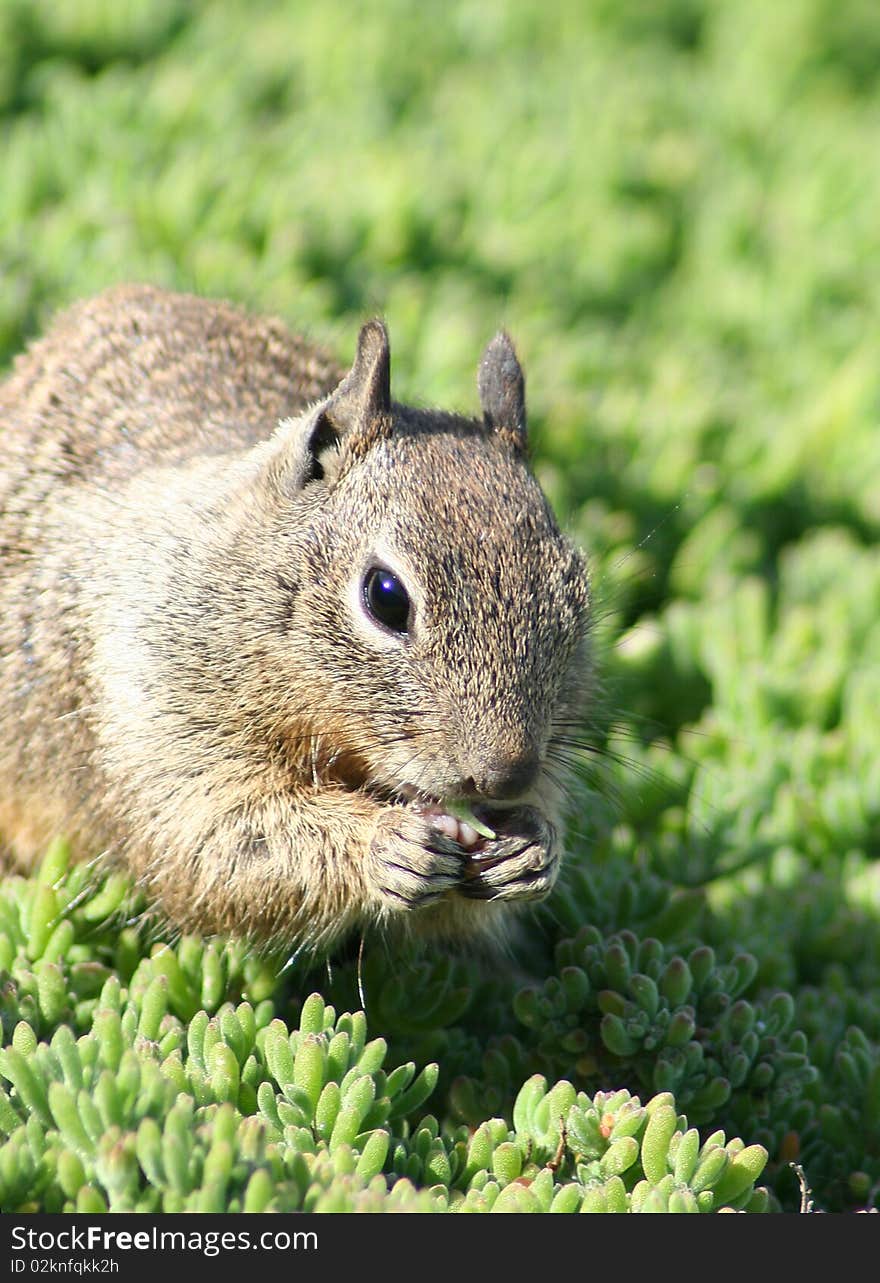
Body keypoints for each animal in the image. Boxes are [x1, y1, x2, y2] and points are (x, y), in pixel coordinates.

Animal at [0, 291, 595, 954]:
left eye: (577, 589)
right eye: (386, 597)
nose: (505, 775)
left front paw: (534, 849)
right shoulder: (155, 719)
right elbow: (221, 845)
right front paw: (383, 844)